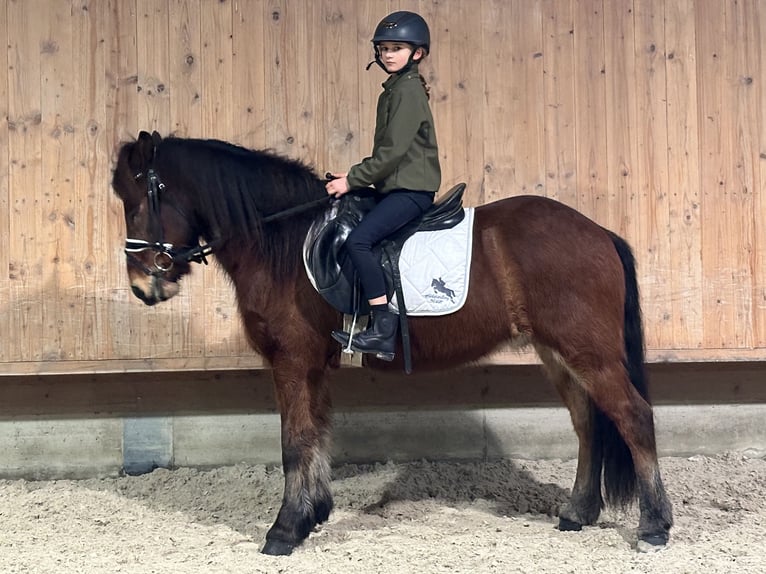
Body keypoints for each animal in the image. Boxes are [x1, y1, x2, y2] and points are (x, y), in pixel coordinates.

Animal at [112, 131, 673, 555]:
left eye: (137, 202)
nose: (143, 286)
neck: (285, 243)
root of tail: (598, 232)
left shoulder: (291, 359)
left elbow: (294, 441)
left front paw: (284, 530)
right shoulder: (315, 363)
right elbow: (318, 435)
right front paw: (314, 514)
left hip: (588, 351)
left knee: (633, 417)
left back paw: (654, 527)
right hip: (558, 353)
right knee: (588, 423)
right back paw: (578, 512)